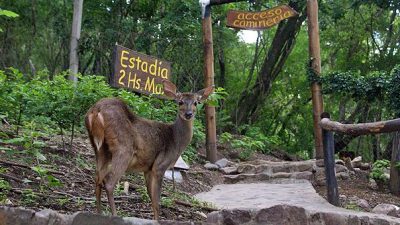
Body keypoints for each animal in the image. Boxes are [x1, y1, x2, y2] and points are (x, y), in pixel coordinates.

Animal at [85, 81, 212, 220]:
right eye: (180, 102)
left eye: (196, 102)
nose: (189, 114)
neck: (175, 139)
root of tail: (95, 110)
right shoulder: (159, 166)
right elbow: (157, 201)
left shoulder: (147, 168)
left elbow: (151, 197)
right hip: (123, 149)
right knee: (108, 181)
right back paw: (114, 215)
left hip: (100, 149)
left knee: (97, 179)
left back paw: (99, 214)